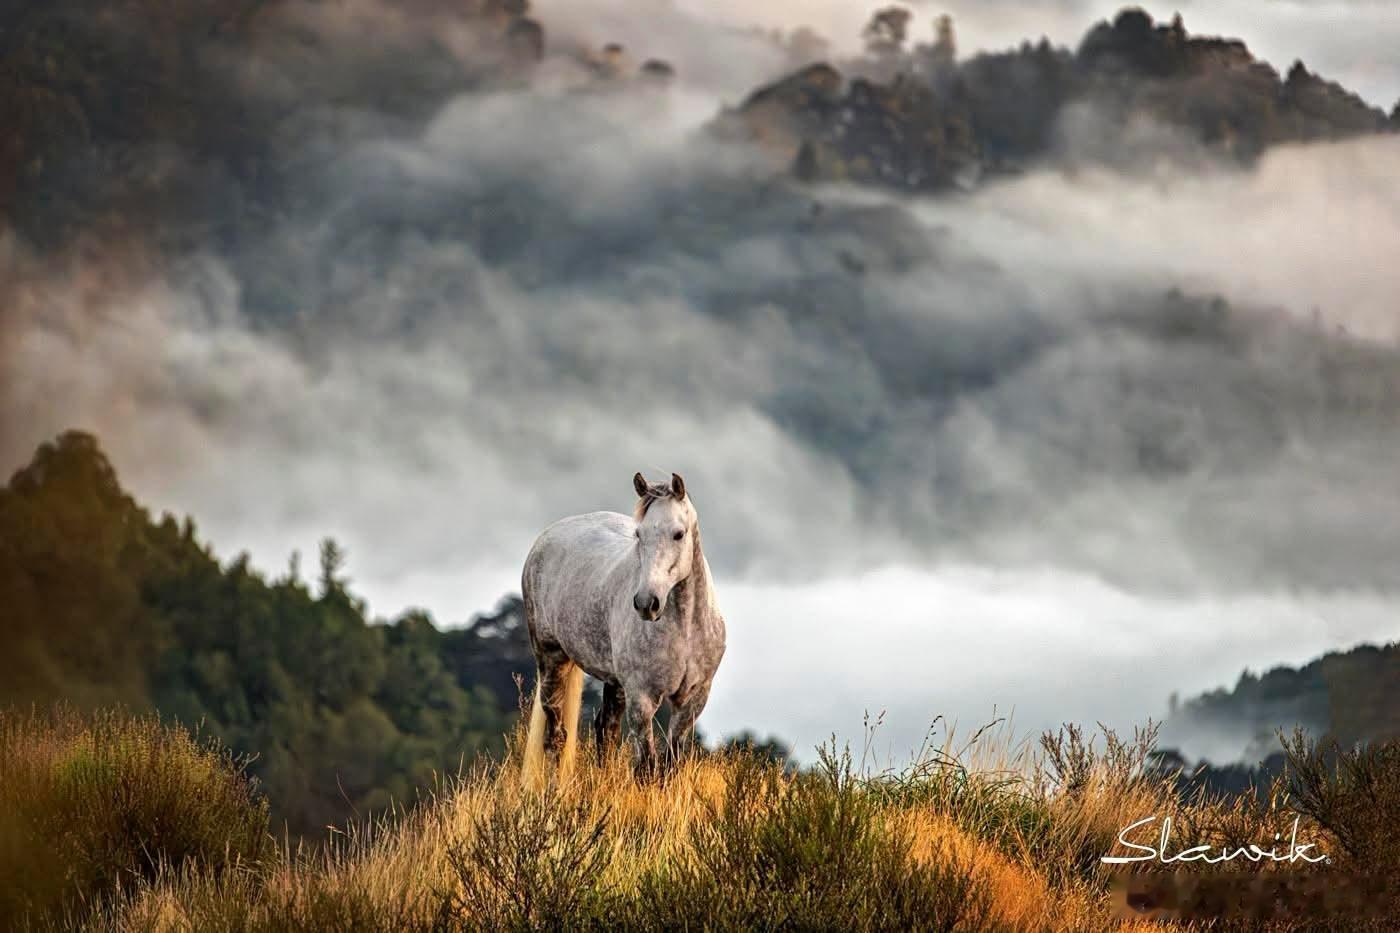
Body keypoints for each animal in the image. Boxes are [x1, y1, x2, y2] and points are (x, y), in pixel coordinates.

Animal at [520, 471, 726, 782]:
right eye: (639, 534)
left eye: (678, 534)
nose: (646, 603)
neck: (685, 631)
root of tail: (547, 537)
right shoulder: (642, 698)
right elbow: (648, 767)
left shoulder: (692, 699)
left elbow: (670, 765)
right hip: (552, 661)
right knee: (555, 737)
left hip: (613, 682)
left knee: (606, 729)